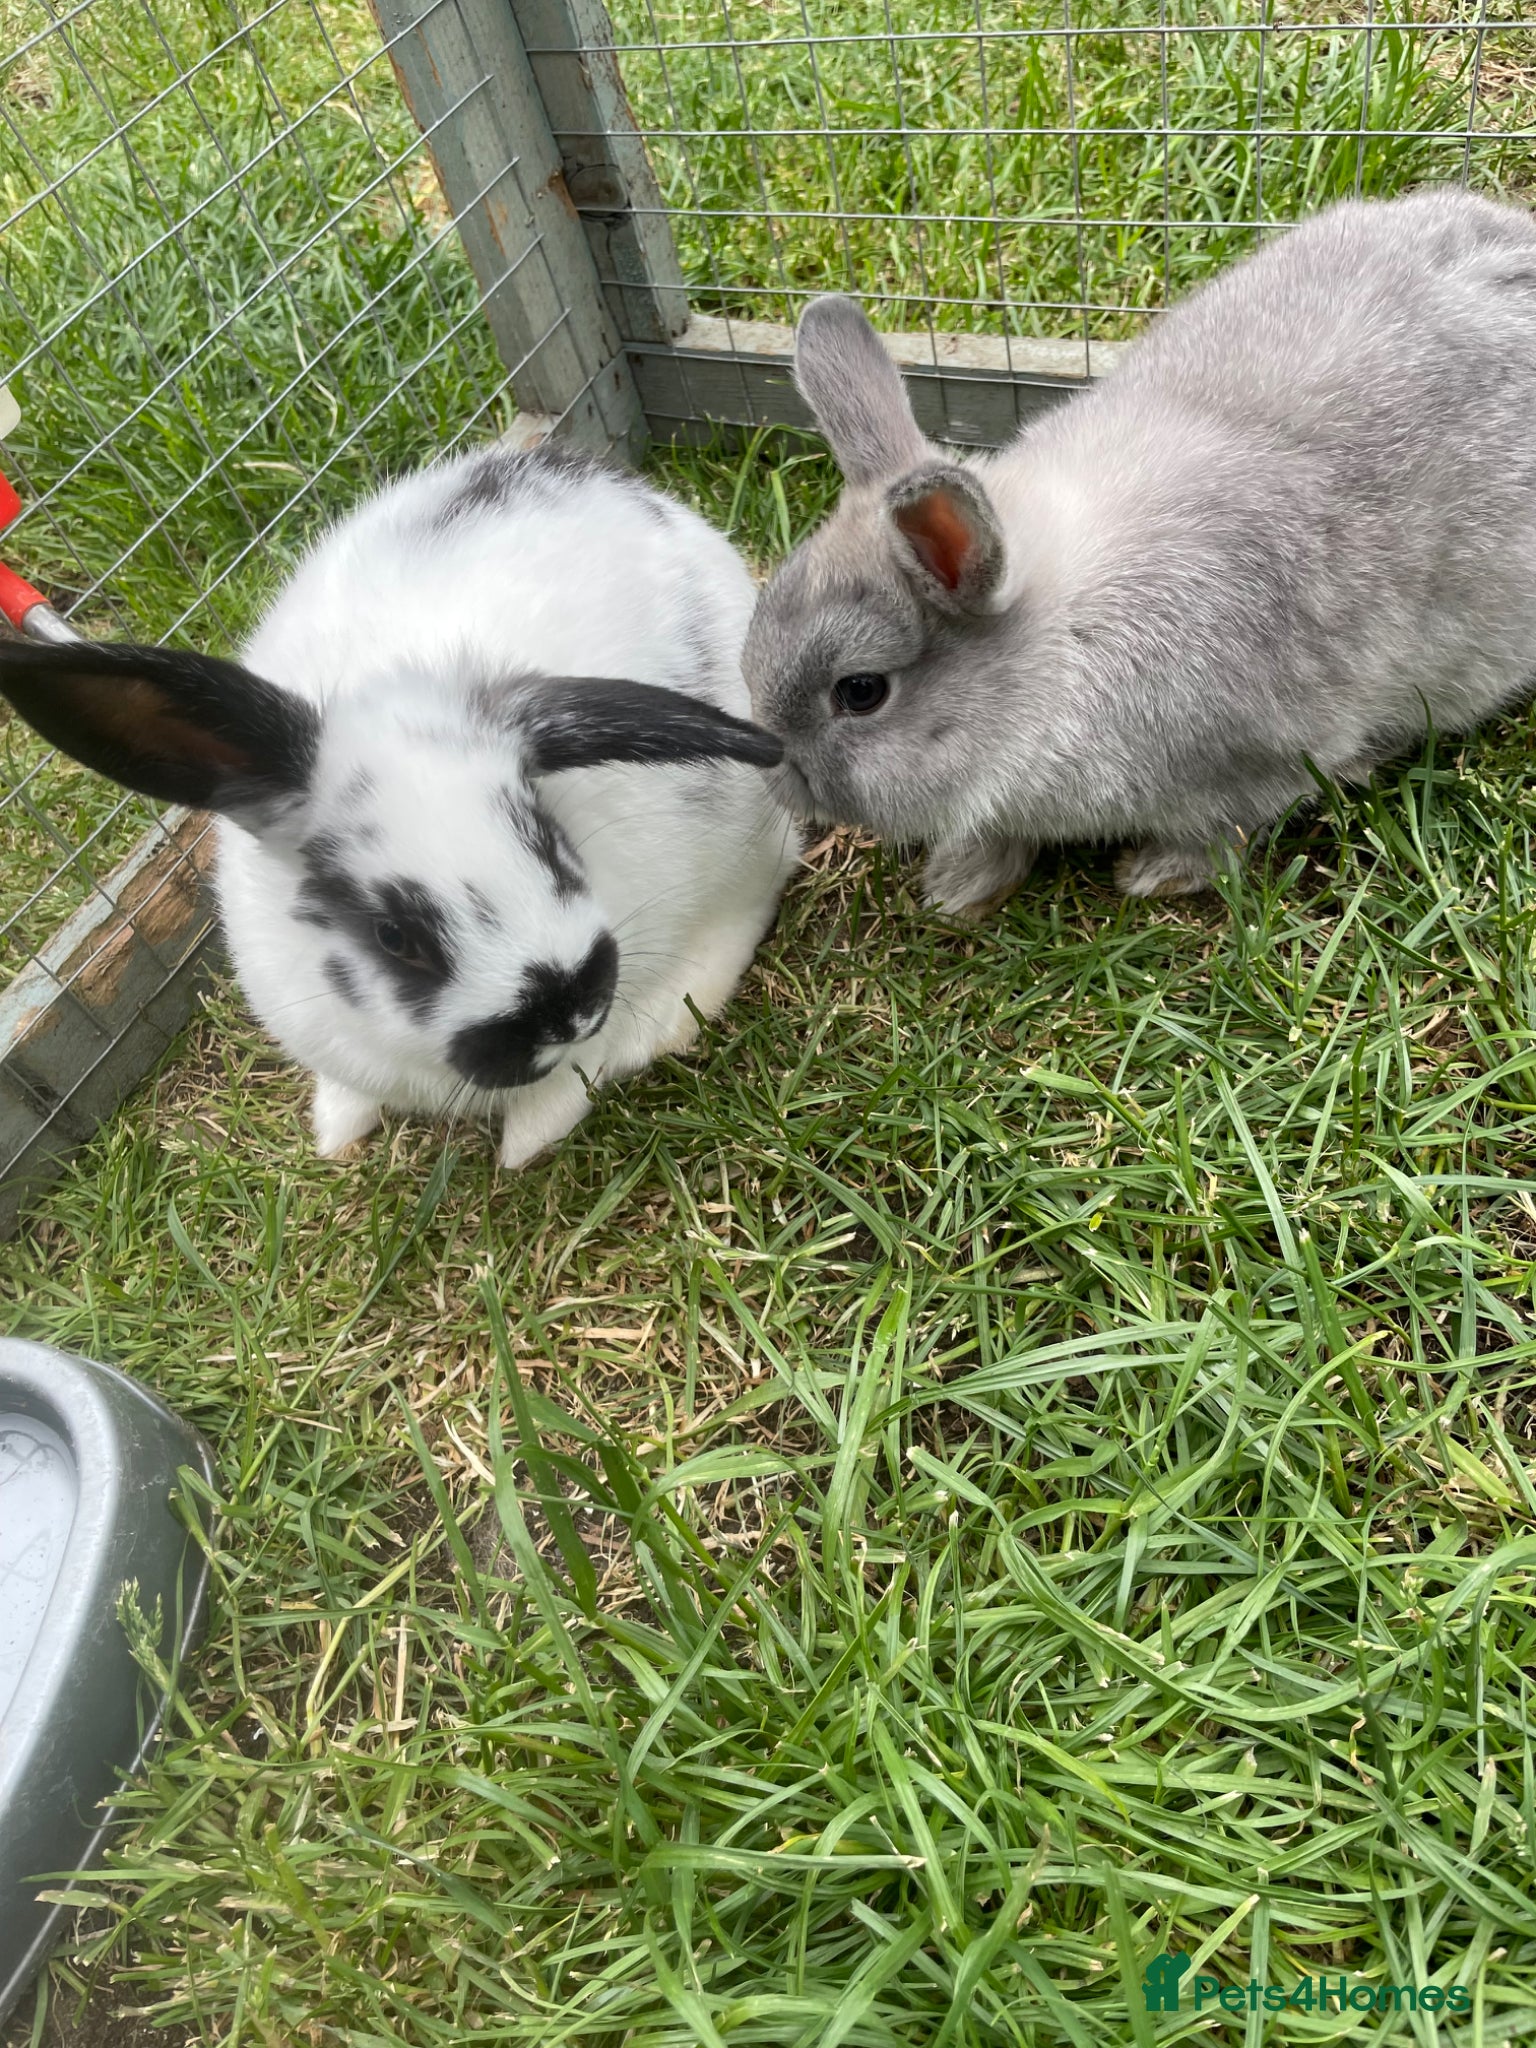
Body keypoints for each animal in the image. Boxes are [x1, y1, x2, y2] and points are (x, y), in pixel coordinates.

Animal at [0, 442, 800, 1168]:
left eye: (551, 847)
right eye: (393, 937)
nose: (570, 1009)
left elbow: (563, 1089)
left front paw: (524, 1148)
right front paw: (336, 1132)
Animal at [742, 187, 1536, 913]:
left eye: (861, 692)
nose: (775, 776)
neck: (1059, 649)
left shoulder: (1266, 759)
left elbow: (1229, 828)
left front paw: (1156, 875)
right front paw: (960, 886)